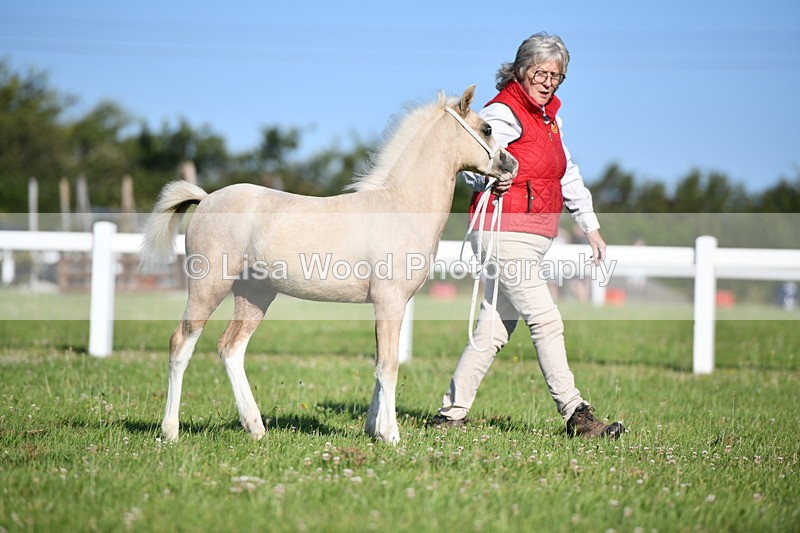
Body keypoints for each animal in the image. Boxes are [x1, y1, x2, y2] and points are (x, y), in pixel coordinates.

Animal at [139, 85, 518, 444]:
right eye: (486, 128)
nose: (510, 165)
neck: (400, 206)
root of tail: (205, 199)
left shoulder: (385, 306)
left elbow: (379, 364)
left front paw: (373, 429)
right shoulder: (390, 302)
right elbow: (389, 366)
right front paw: (391, 435)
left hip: (254, 296)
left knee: (230, 348)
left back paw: (255, 427)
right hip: (208, 287)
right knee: (181, 344)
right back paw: (170, 431)